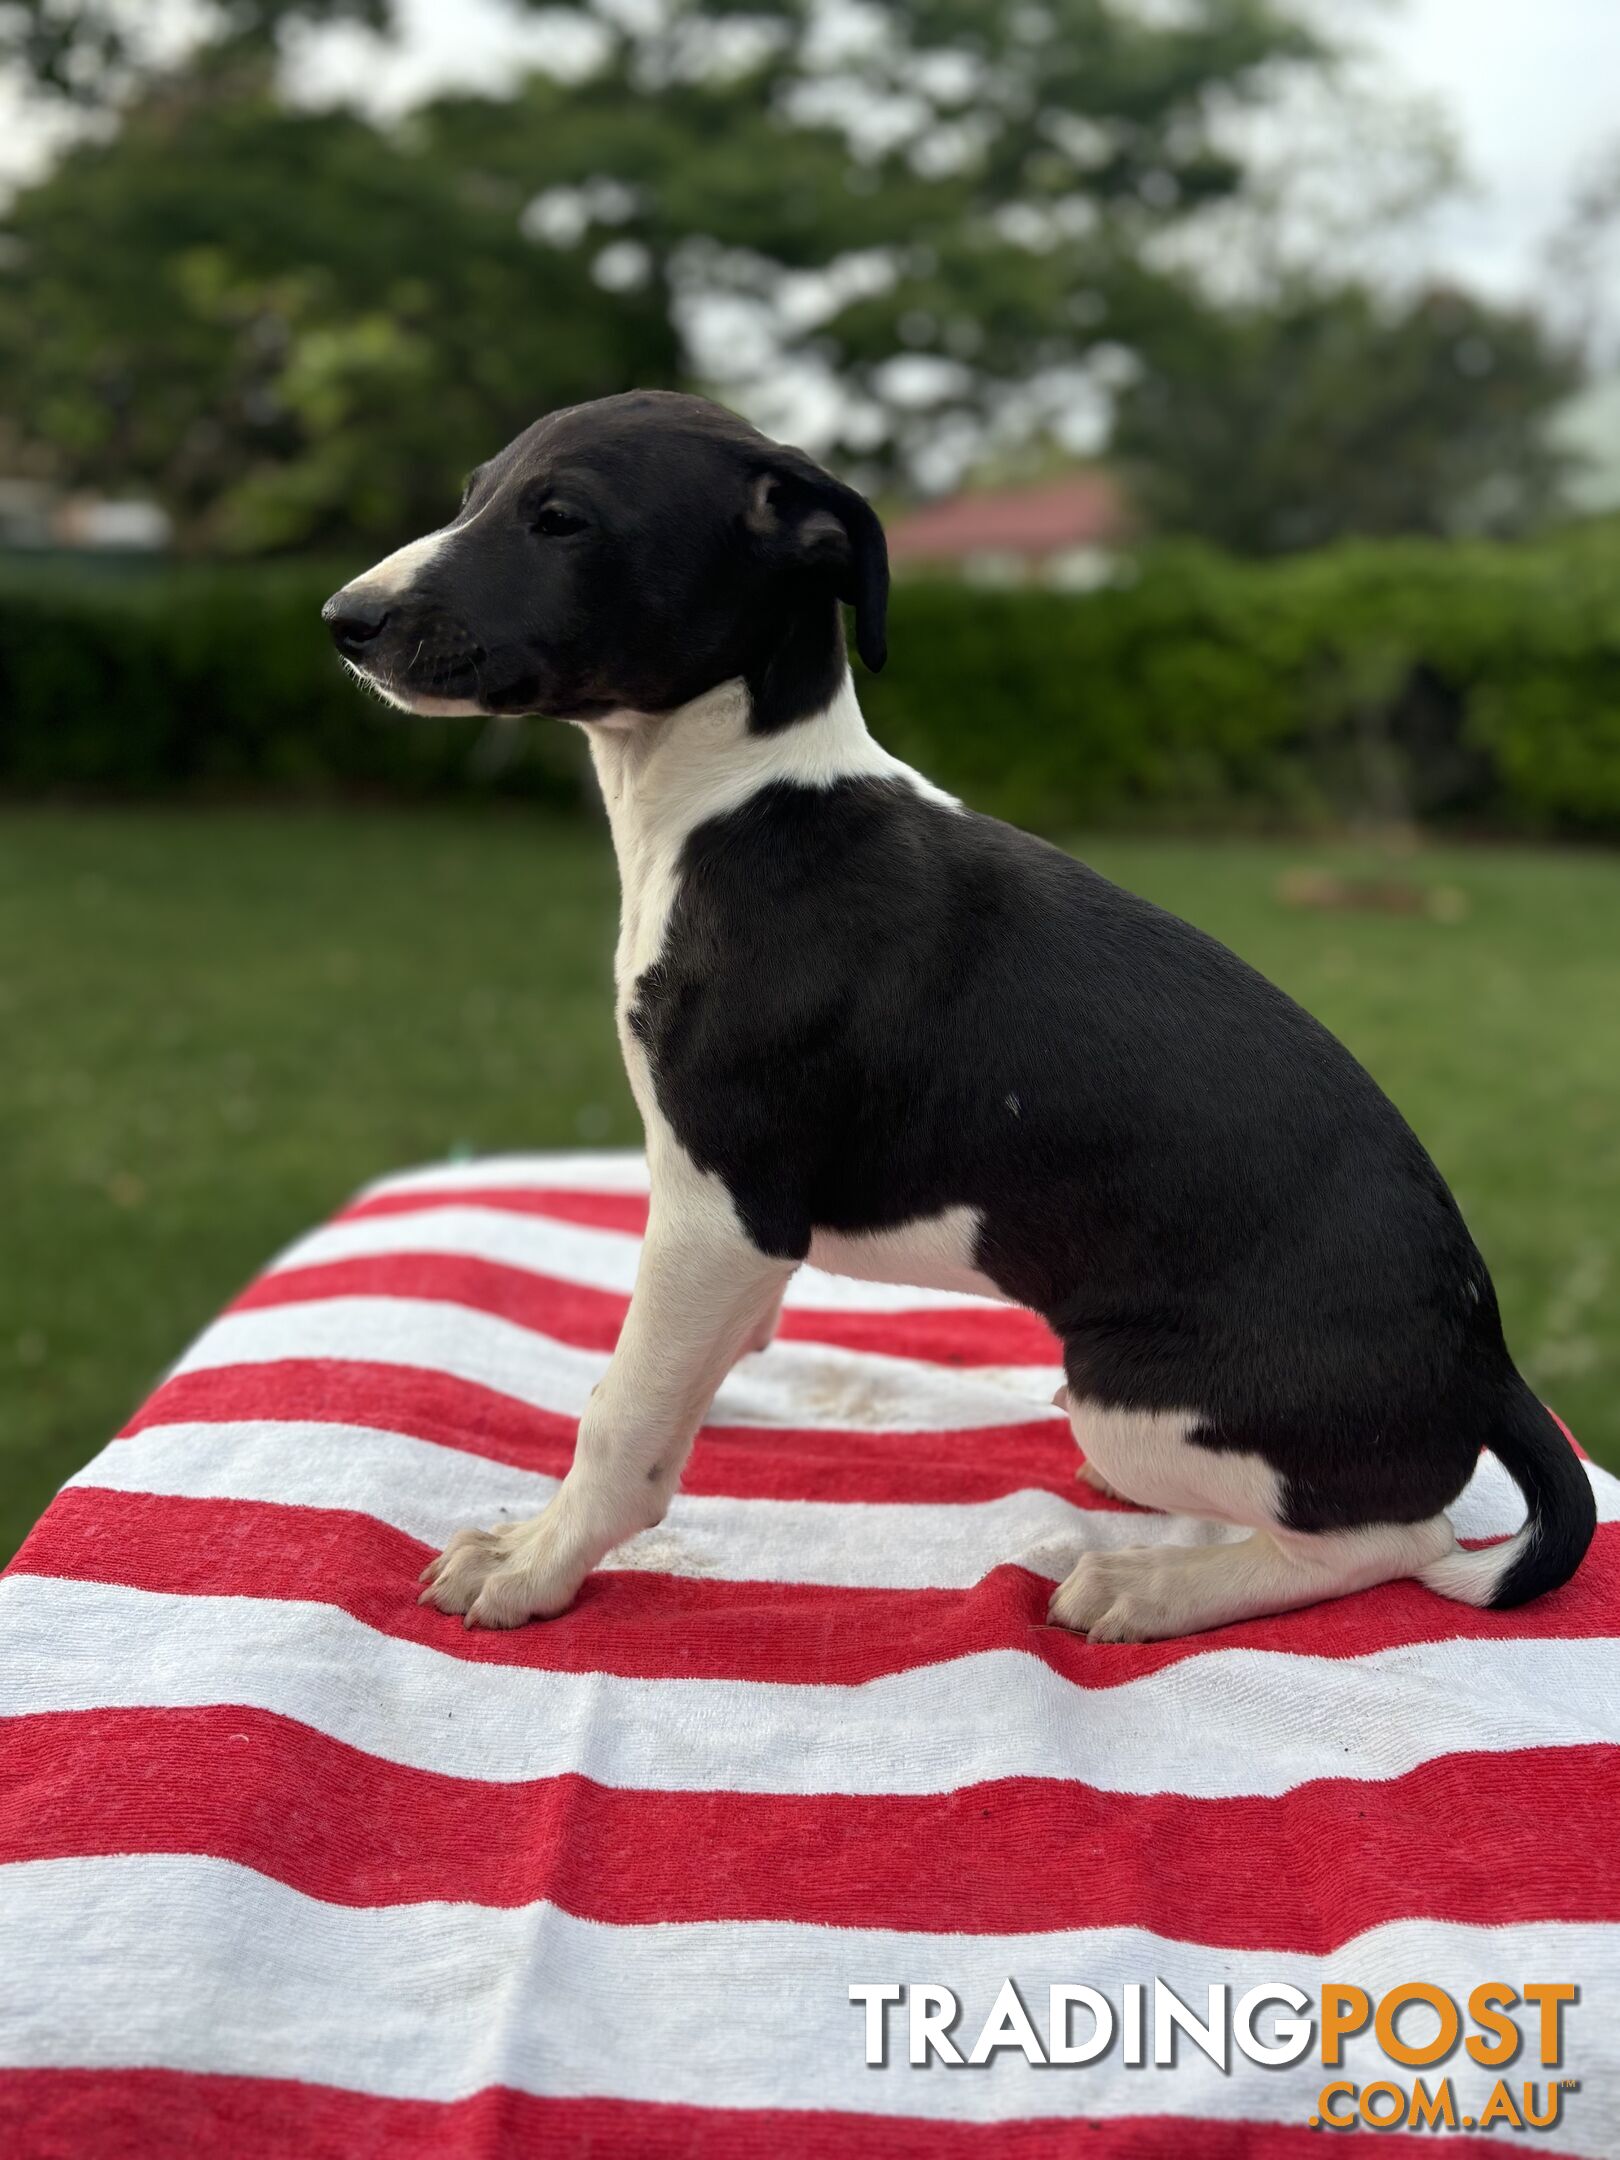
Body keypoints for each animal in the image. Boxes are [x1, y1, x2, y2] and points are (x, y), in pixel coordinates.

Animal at [326, 393, 1598, 1632]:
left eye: (562, 519)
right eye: (474, 495)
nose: (345, 618)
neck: (739, 799)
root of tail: (1488, 1356)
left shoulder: (722, 1203)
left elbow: (625, 1410)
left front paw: (537, 1563)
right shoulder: (731, 1234)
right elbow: (674, 1364)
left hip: (1133, 1392)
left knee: (1399, 1542)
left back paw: (1152, 1588)